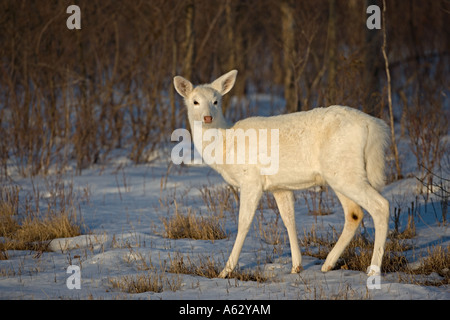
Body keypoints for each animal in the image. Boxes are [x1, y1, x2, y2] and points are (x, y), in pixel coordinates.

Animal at [172, 70, 390, 278]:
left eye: (216, 101)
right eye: (195, 101)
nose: (207, 117)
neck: (225, 146)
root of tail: (373, 127)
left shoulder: (251, 179)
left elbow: (243, 223)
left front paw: (225, 271)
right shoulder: (280, 187)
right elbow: (289, 220)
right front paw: (296, 267)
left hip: (345, 171)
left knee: (381, 206)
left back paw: (373, 270)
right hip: (339, 173)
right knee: (354, 213)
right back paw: (328, 264)